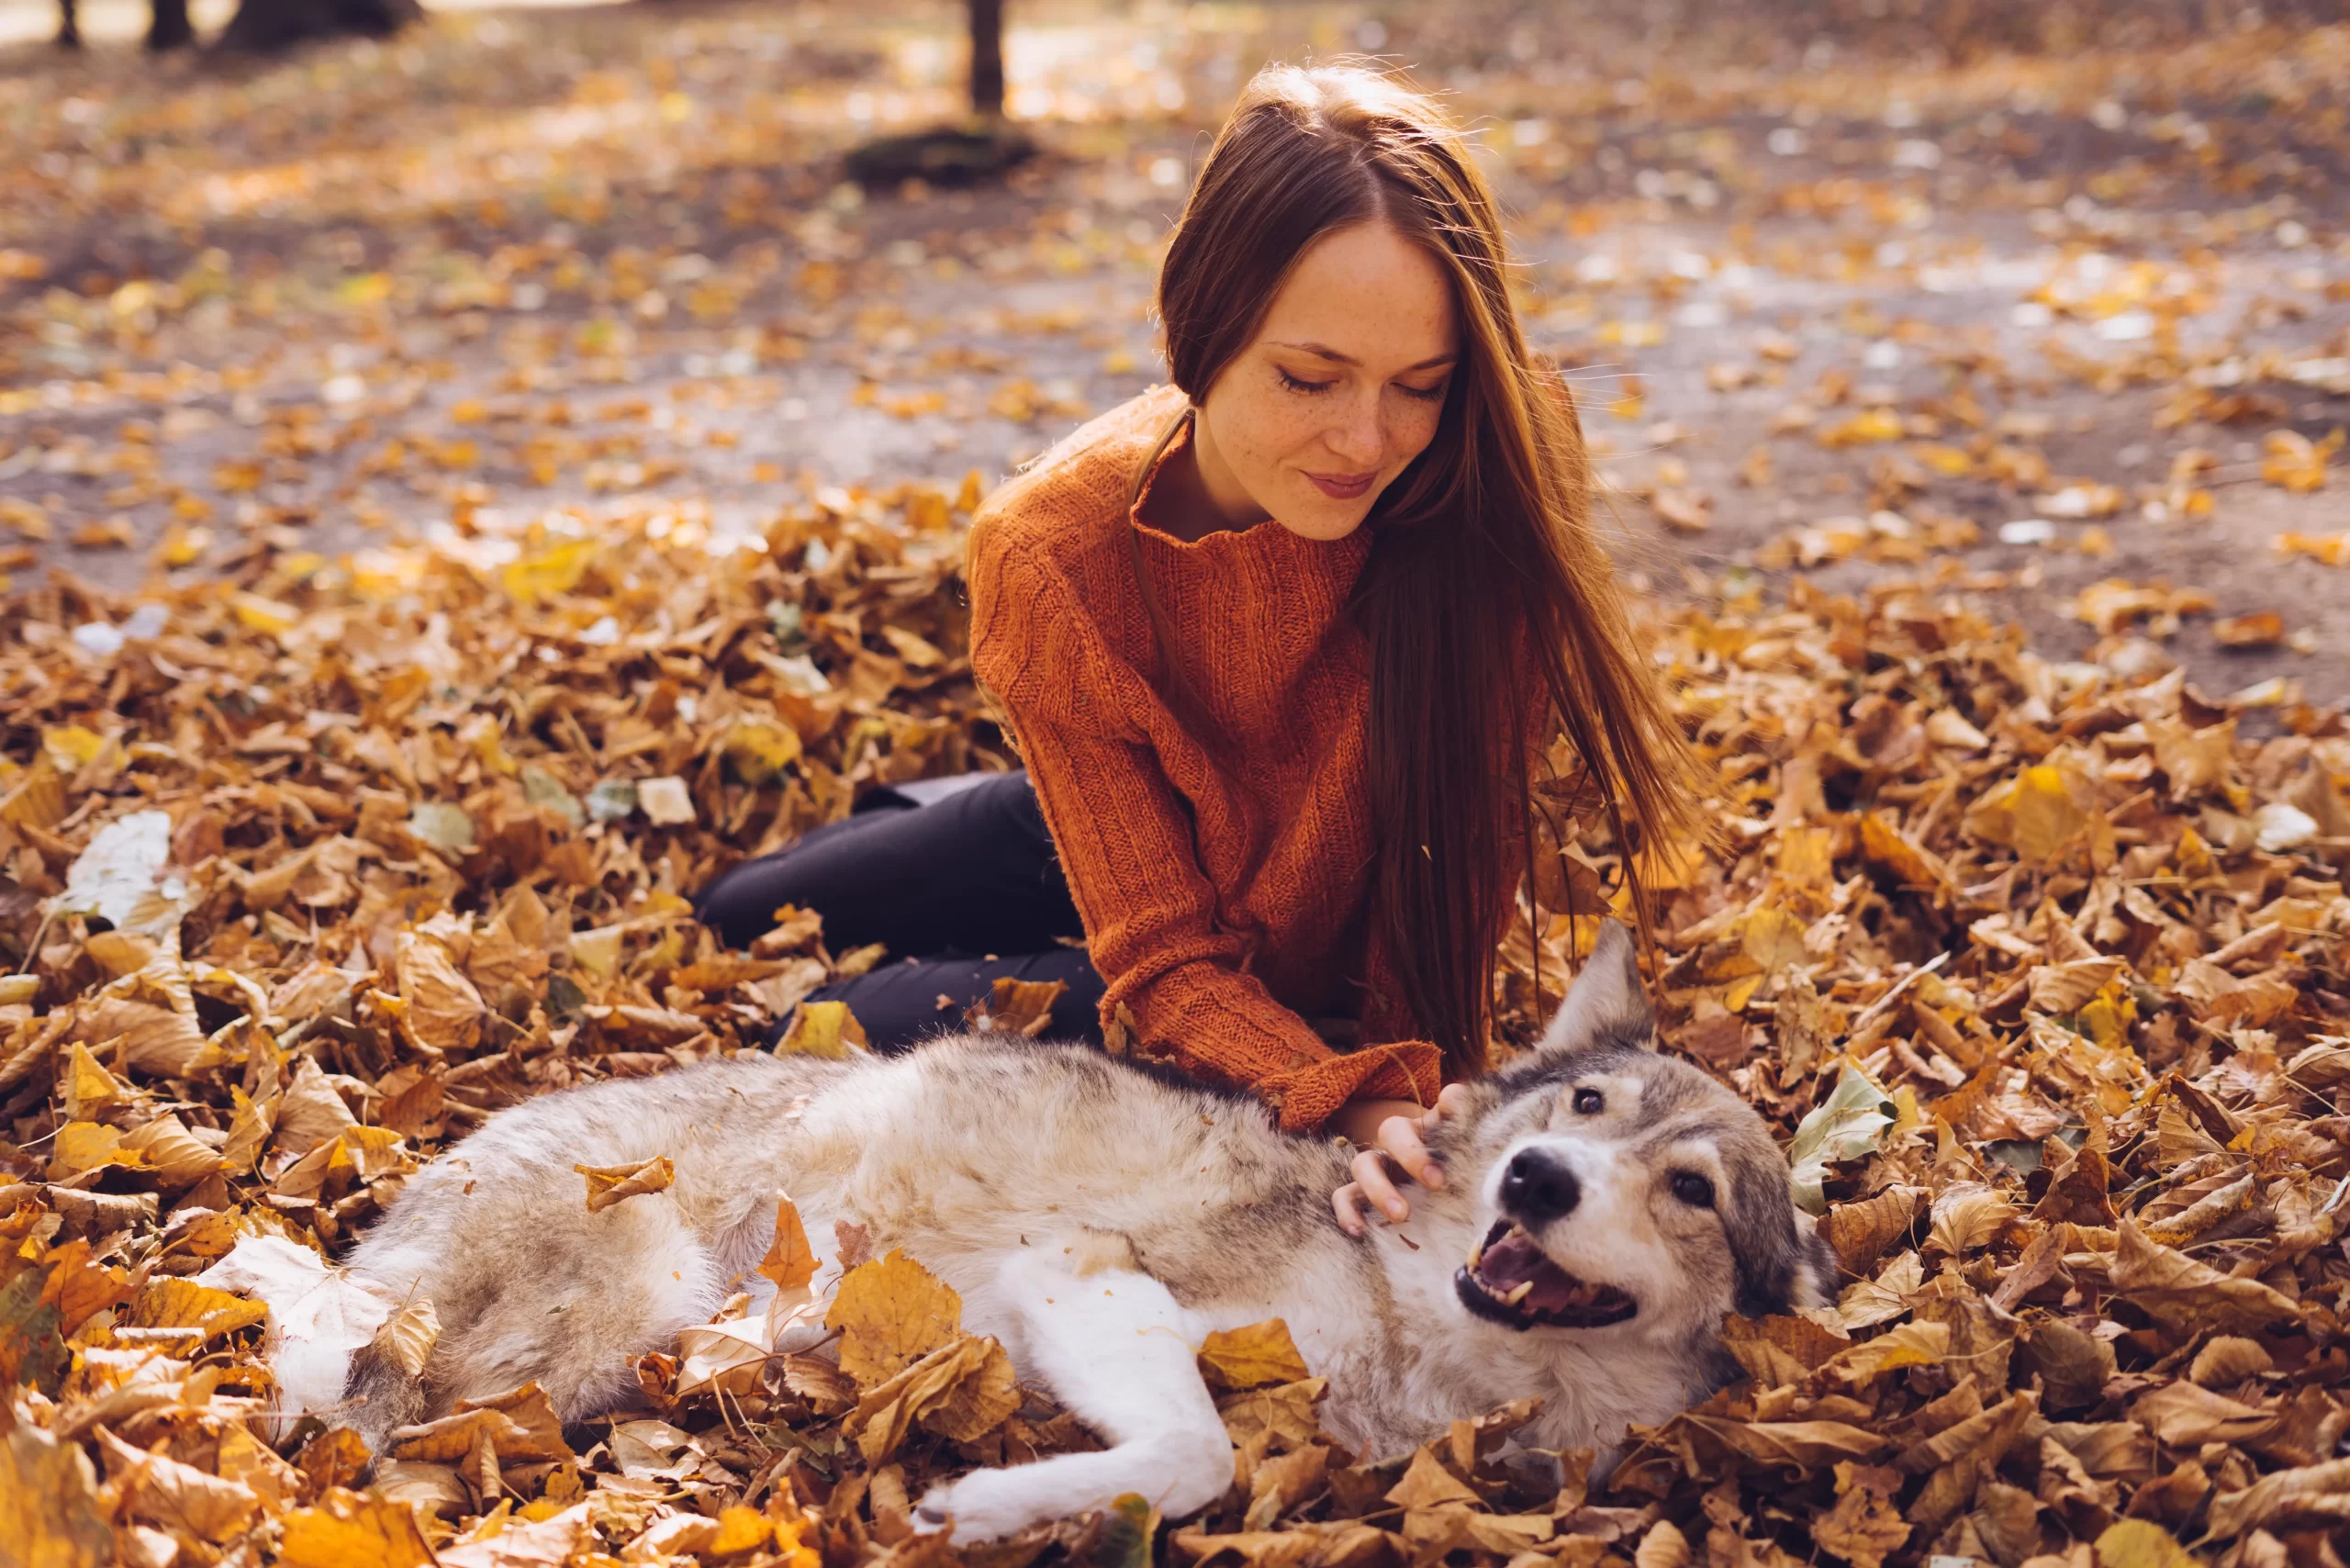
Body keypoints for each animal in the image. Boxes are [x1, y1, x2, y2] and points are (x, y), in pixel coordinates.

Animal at [284, 925, 1832, 1541]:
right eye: (1585, 1103)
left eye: (1692, 1191)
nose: (1538, 1183)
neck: (1424, 1345)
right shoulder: (1084, 1281)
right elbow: (1199, 1453)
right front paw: (982, 1509)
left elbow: (1200, 1460)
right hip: (602, 1322)